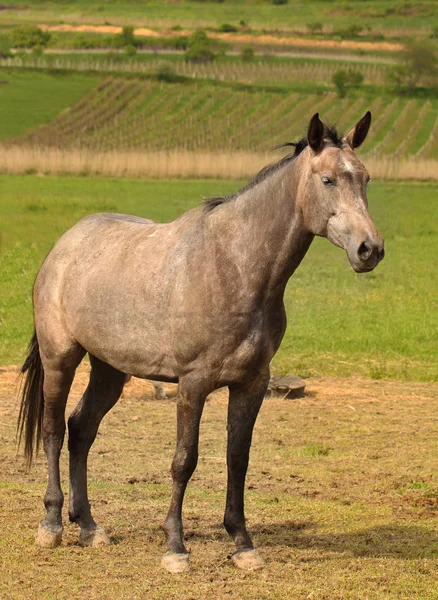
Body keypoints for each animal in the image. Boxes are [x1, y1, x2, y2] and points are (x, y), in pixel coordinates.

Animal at [17, 111, 384, 572]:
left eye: (366, 178)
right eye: (328, 179)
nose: (370, 249)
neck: (234, 266)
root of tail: (64, 247)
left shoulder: (252, 383)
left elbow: (237, 458)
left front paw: (243, 544)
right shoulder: (193, 383)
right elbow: (183, 460)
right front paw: (175, 547)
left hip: (109, 369)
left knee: (81, 429)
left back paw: (89, 527)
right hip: (60, 358)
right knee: (52, 431)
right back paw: (51, 525)